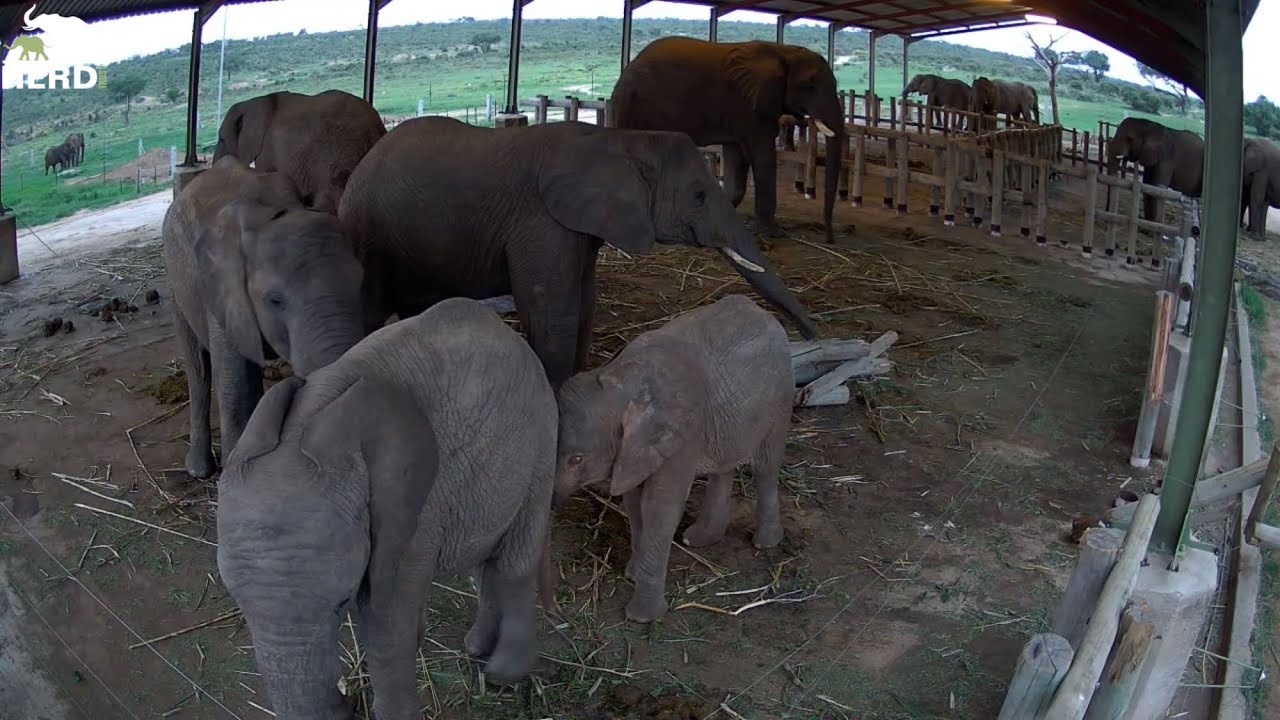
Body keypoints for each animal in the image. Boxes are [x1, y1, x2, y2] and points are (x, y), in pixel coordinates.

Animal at [163, 155, 365, 479]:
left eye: (361, 283)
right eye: (275, 300)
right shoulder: (223, 291)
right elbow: (236, 386)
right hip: (175, 280)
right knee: (198, 367)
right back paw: (199, 470)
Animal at [217, 297, 557, 720]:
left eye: (340, 604)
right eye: (239, 606)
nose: (348, 701)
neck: (307, 421)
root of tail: (510, 333)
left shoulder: (414, 511)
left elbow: (386, 618)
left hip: (541, 438)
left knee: (515, 558)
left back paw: (501, 674)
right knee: (486, 558)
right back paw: (476, 646)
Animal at [338, 116, 818, 389]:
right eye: (699, 195)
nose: (810, 334)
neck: (622, 141)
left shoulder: (580, 227)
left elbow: (585, 302)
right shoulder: (542, 220)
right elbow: (553, 310)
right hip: (369, 236)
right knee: (368, 309)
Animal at [545, 294, 790, 623]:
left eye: (577, 460)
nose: (557, 613)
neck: (619, 378)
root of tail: (761, 310)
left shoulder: (681, 435)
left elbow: (660, 508)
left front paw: (641, 616)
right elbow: (634, 503)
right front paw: (633, 575)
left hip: (780, 397)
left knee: (765, 466)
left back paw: (765, 543)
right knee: (723, 465)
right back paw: (701, 539)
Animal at [612, 36, 846, 244]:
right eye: (809, 86)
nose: (829, 239)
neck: (784, 51)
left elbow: (737, 158)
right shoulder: (749, 107)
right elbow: (762, 158)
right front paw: (774, 234)